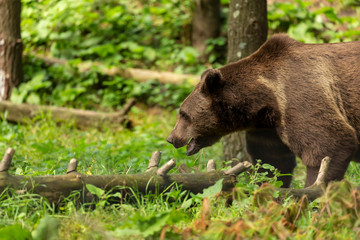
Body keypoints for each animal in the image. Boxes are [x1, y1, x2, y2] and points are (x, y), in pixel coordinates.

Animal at [167, 33, 360, 188]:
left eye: (183, 114)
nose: (171, 138)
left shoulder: (297, 97)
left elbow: (328, 146)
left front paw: (314, 190)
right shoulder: (267, 128)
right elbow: (271, 161)